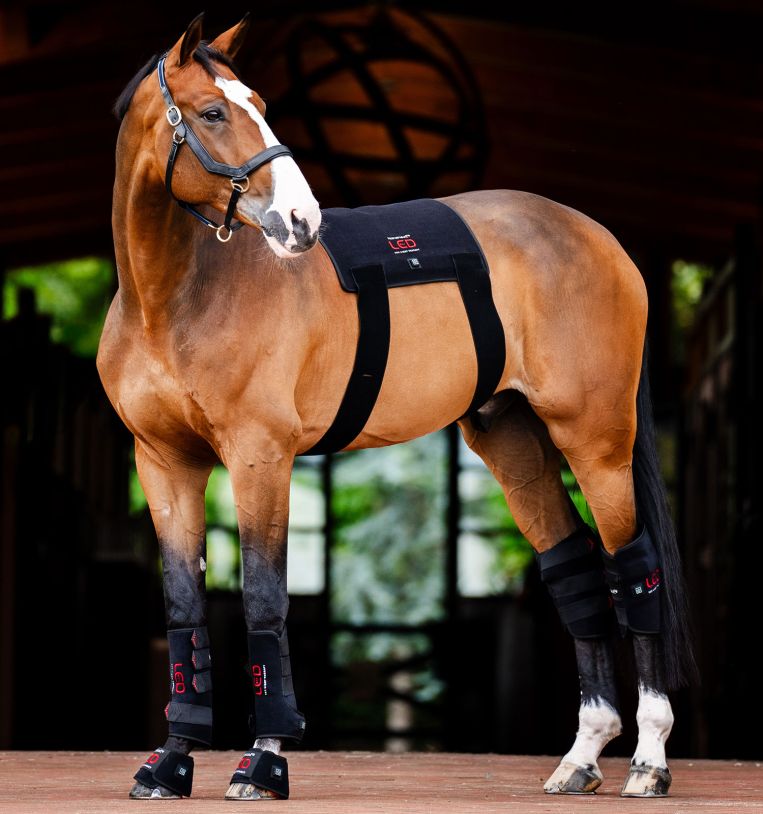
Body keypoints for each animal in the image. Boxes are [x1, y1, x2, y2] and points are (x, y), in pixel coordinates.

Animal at [99, 13, 695, 801]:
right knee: (576, 573)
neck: (173, 301)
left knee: (634, 569)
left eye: (258, 103)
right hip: (515, 441)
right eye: (212, 112)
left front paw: (264, 761)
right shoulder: (165, 465)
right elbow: (183, 610)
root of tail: (601, 240)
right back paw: (581, 757)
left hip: (595, 442)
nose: (300, 220)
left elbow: (265, 601)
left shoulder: (260, 458)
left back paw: (650, 760)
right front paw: (170, 763)